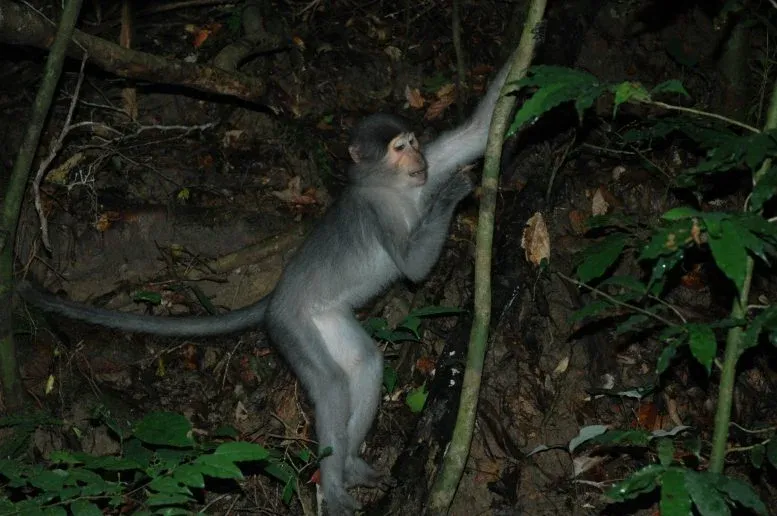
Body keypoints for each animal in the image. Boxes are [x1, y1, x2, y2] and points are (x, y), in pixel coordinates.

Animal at [17, 61, 510, 515]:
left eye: (413, 144)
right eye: (398, 148)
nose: (417, 160)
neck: (393, 189)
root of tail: (276, 298)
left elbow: (477, 132)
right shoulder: (380, 214)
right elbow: (412, 267)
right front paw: (454, 192)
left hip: (326, 317)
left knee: (363, 364)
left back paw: (350, 465)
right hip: (292, 325)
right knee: (332, 384)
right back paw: (334, 487)